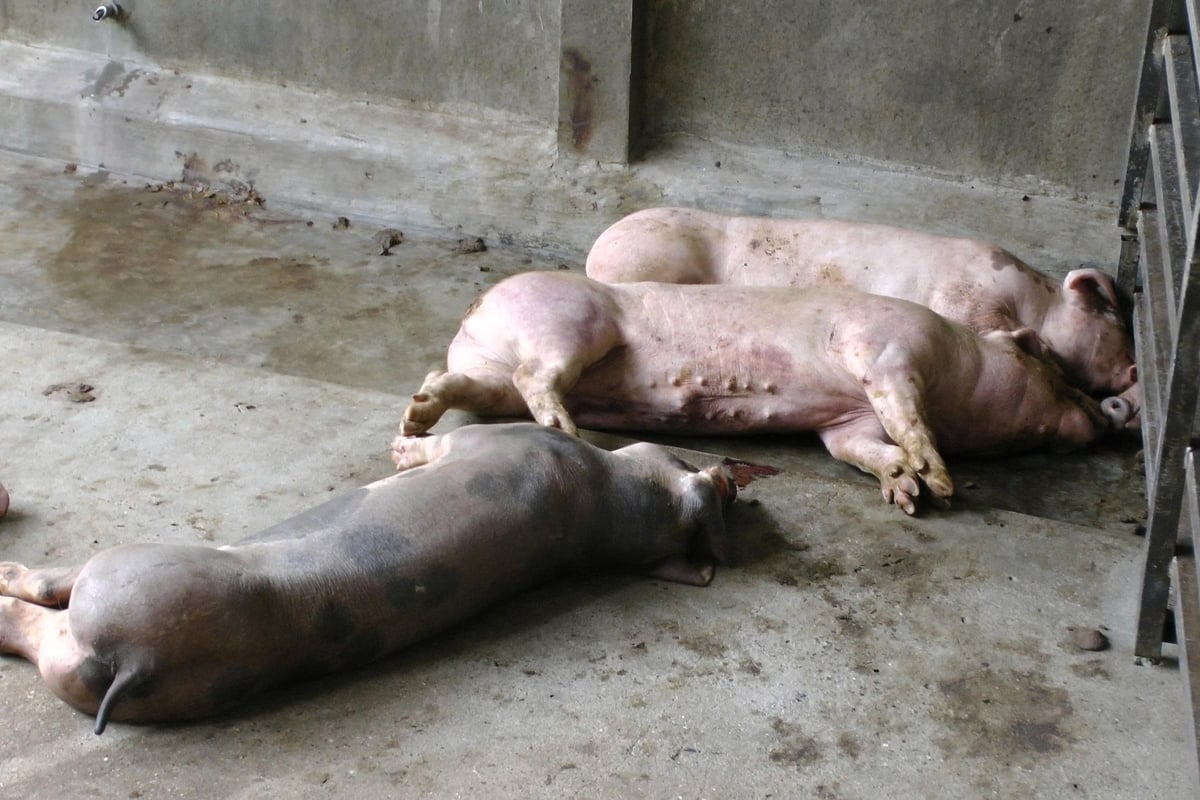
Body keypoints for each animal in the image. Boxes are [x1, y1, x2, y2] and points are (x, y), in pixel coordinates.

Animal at [0, 423, 734, 733]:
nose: (734, 479)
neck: (605, 499)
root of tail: (137, 662)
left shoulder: (499, 436)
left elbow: (438, 445)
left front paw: (398, 447)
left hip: (124, 569)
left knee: (47, 593)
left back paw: (8, 571)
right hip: (115, 668)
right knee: (41, 637)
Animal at [400, 272, 1134, 515]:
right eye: (1055, 371)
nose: (1108, 417)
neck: (961, 373)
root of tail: (479, 307)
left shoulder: (845, 424)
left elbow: (861, 449)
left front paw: (906, 494)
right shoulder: (887, 352)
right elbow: (906, 412)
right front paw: (944, 484)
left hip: (488, 371)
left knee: (456, 383)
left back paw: (411, 425)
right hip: (571, 325)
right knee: (538, 378)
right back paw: (566, 431)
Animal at [584, 207, 1137, 395]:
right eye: (1111, 319)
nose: (1135, 370)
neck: (1032, 303)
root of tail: (596, 250)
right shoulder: (966, 297)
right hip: (653, 258)